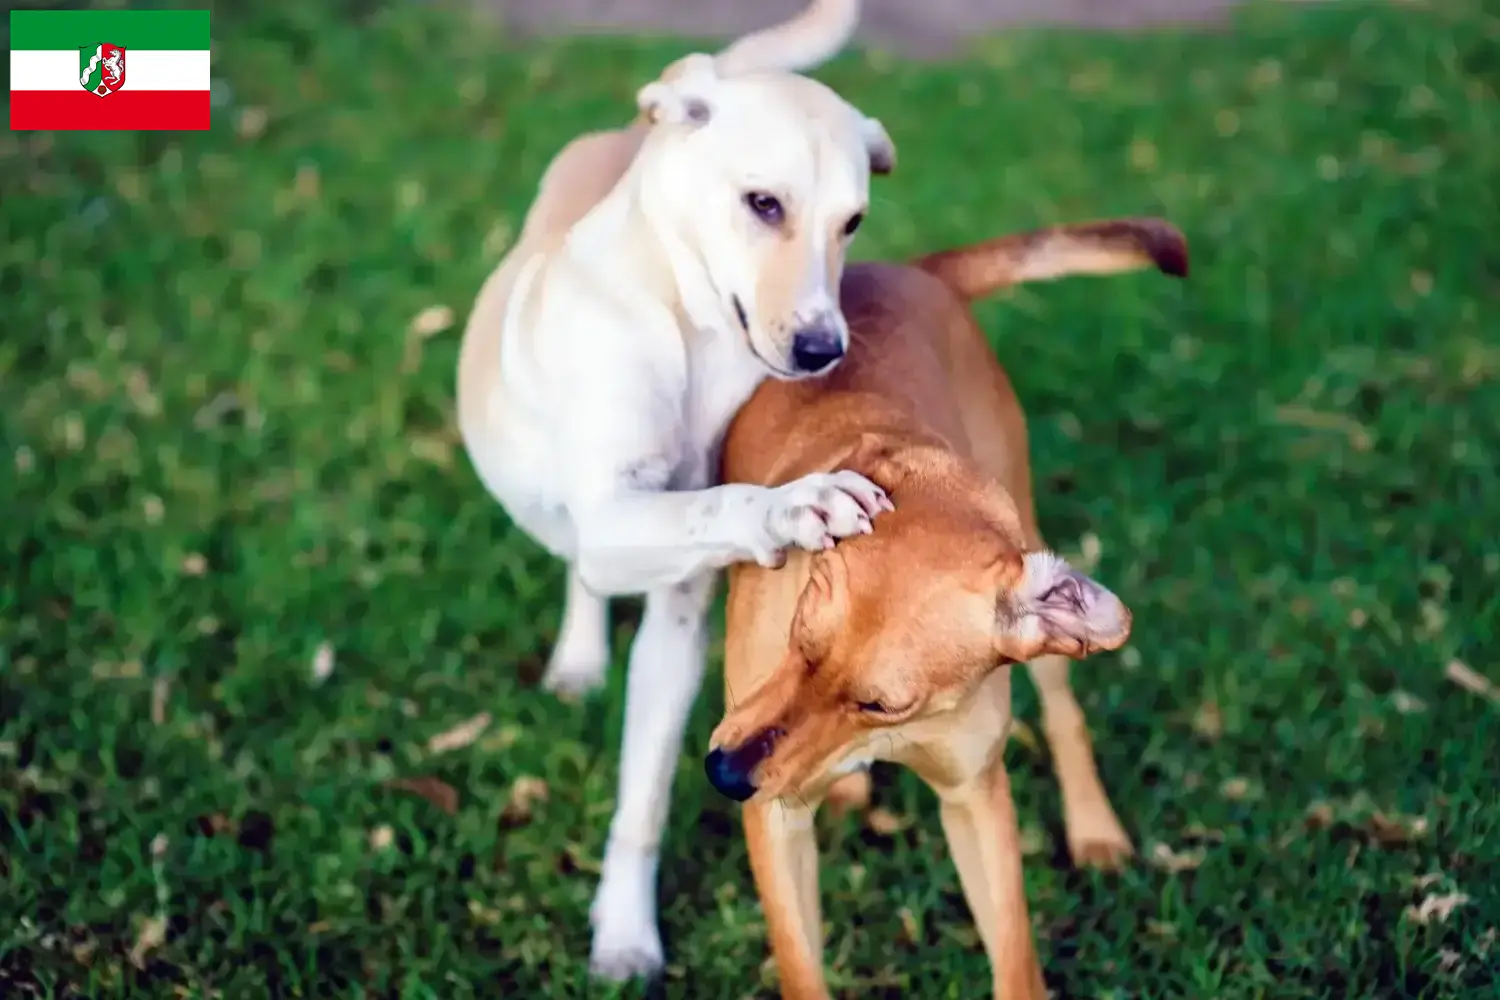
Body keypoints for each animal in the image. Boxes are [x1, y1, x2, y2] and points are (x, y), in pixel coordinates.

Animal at [456, 0, 894, 983]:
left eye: (852, 221)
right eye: (763, 203)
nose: (823, 348)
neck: (692, 331)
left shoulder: (678, 618)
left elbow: (645, 801)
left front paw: (623, 926)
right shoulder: (621, 520)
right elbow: (710, 506)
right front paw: (796, 504)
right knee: (578, 566)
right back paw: (579, 657)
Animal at [702, 220, 1182, 1000]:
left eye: (880, 704)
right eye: (800, 637)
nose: (724, 775)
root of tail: (911, 271)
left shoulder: (975, 797)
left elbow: (1016, 962)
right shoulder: (775, 820)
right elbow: (802, 969)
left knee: (1064, 709)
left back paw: (1094, 828)